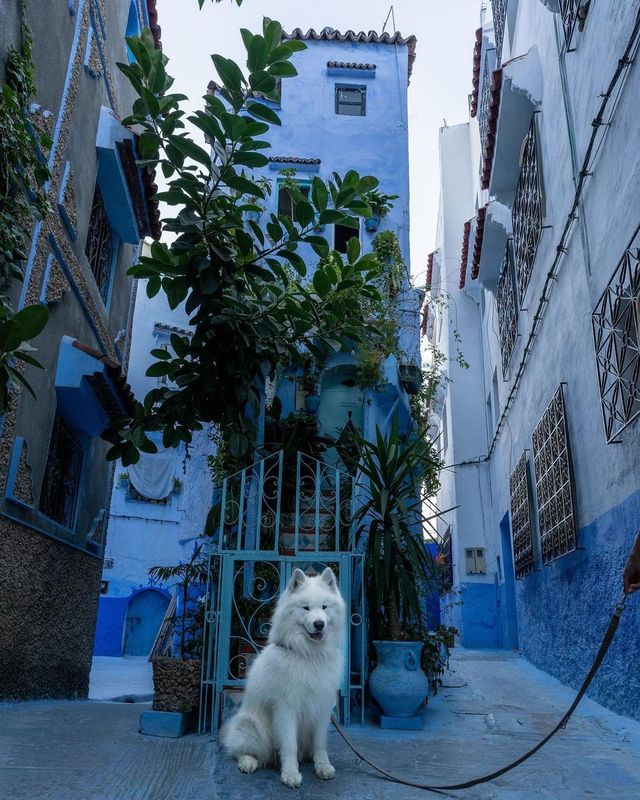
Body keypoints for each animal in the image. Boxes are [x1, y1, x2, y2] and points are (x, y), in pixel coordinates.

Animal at [222, 568, 348, 788]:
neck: (309, 656)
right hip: (251, 727)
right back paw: (248, 762)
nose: (319, 624)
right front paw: (290, 774)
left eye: (324, 607)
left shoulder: (322, 707)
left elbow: (320, 744)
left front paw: (323, 767)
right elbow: (289, 746)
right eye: (306, 608)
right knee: (241, 750)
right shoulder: (286, 708)